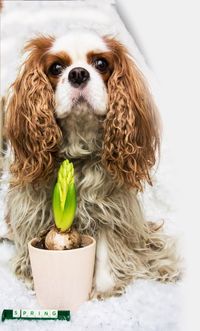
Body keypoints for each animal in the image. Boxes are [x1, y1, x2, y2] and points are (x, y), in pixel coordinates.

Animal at [3, 28, 179, 298]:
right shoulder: (34, 205)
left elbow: (105, 248)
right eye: (56, 67)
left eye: (101, 63)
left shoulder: (109, 207)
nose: (77, 73)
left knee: (145, 244)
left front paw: (104, 288)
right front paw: (32, 275)